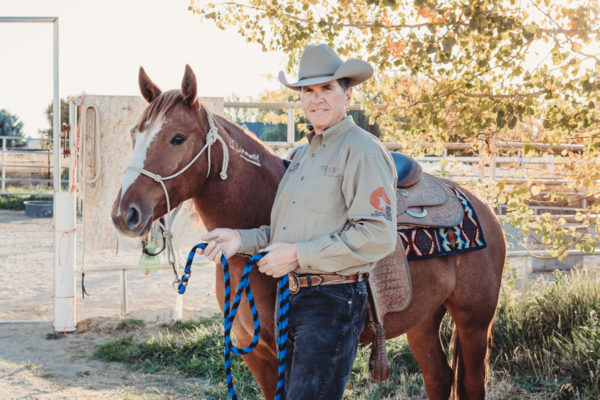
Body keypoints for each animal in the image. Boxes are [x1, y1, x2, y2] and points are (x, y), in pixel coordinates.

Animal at [111, 65, 506, 400]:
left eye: (178, 138)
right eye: (134, 134)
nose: (123, 213)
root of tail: (480, 204)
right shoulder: (258, 357)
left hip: (474, 323)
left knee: (471, 384)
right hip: (422, 321)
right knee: (438, 377)